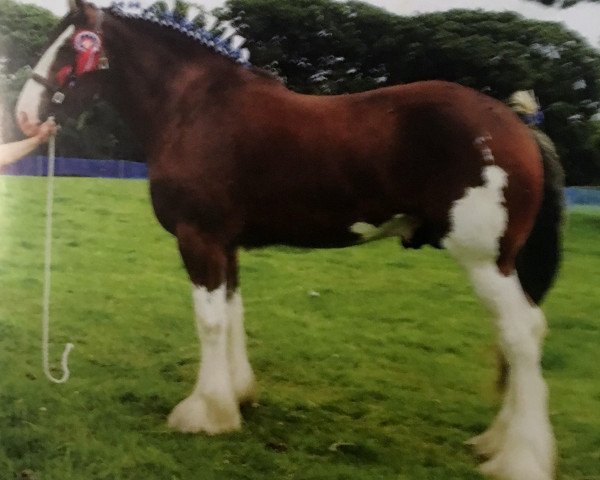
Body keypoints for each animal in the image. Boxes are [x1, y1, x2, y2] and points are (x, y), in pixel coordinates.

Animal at [16, 1, 564, 478]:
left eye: (67, 50)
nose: (23, 117)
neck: (193, 108)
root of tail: (517, 124)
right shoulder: (226, 244)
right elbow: (233, 315)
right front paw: (235, 397)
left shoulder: (199, 239)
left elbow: (209, 322)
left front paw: (203, 413)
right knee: (518, 335)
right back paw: (495, 442)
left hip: (484, 260)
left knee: (521, 334)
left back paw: (519, 459)